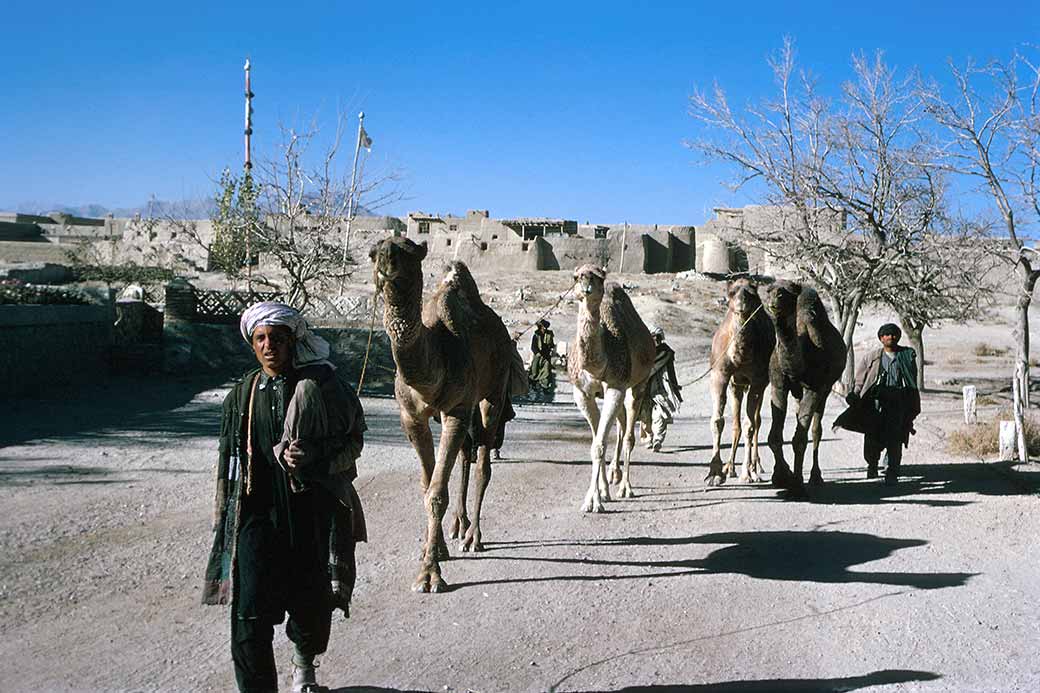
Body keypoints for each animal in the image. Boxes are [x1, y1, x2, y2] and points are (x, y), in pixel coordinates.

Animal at [370, 237, 513, 592]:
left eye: (409, 252)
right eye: (373, 251)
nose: (385, 260)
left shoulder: (456, 411)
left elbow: (436, 493)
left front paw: (429, 574)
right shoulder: (411, 418)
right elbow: (427, 483)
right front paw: (431, 549)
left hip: (493, 392)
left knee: (483, 462)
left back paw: (474, 537)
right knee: (466, 456)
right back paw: (458, 526)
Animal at [568, 265, 656, 512]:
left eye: (599, 276)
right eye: (576, 277)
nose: (586, 284)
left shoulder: (616, 386)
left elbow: (599, 444)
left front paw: (593, 501)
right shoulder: (582, 393)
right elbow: (598, 442)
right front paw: (601, 493)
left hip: (637, 384)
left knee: (628, 435)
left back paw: (625, 487)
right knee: (621, 424)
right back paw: (613, 476)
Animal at [705, 279, 776, 485]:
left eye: (752, 293)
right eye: (731, 293)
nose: (742, 303)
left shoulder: (758, 381)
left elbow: (750, 425)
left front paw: (747, 473)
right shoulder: (720, 375)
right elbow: (718, 421)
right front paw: (715, 473)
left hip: (759, 384)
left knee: (756, 421)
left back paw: (755, 468)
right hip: (736, 385)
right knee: (736, 422)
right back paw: (729, 468)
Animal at [759, 280, 847, 492]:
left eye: (789, 291)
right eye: (769, 289)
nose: (776, 298)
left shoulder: (815, 388)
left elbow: (800, 439)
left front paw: (797, 484)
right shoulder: (778, 386)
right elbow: (774, 437)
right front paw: (781, 476)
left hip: (825, 389)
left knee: (816, 430)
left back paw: (816, 477)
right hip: (798, 393)